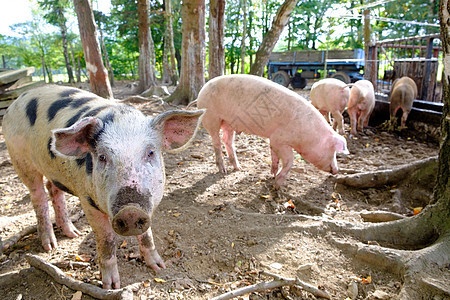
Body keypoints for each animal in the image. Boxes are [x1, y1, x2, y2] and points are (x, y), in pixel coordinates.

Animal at [196, 74, 348, 189]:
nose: (337, 170)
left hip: (228, 122)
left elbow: (274, 156)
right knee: (216, 142)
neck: (309, 133)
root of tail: (201, 92)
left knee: (227, 140)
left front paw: (272, 174)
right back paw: (223, 170)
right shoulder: (279, 139)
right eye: (334, 151)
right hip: (211, 118)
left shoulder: (273, 140)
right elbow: (289, 159)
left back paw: (238, 168)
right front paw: (277, 185)